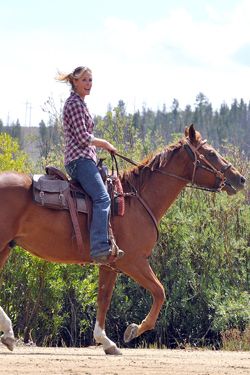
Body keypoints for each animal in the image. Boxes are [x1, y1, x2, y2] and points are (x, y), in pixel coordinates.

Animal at [0, 126, 246, 356]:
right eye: (211, 153)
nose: (240, 178)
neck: (136, 200)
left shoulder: (110, 265)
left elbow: (104, 299)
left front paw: (106, 342)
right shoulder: (133, 261)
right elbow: (159, 292)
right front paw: (134, 330)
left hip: (5, 248)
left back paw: (9, 335)